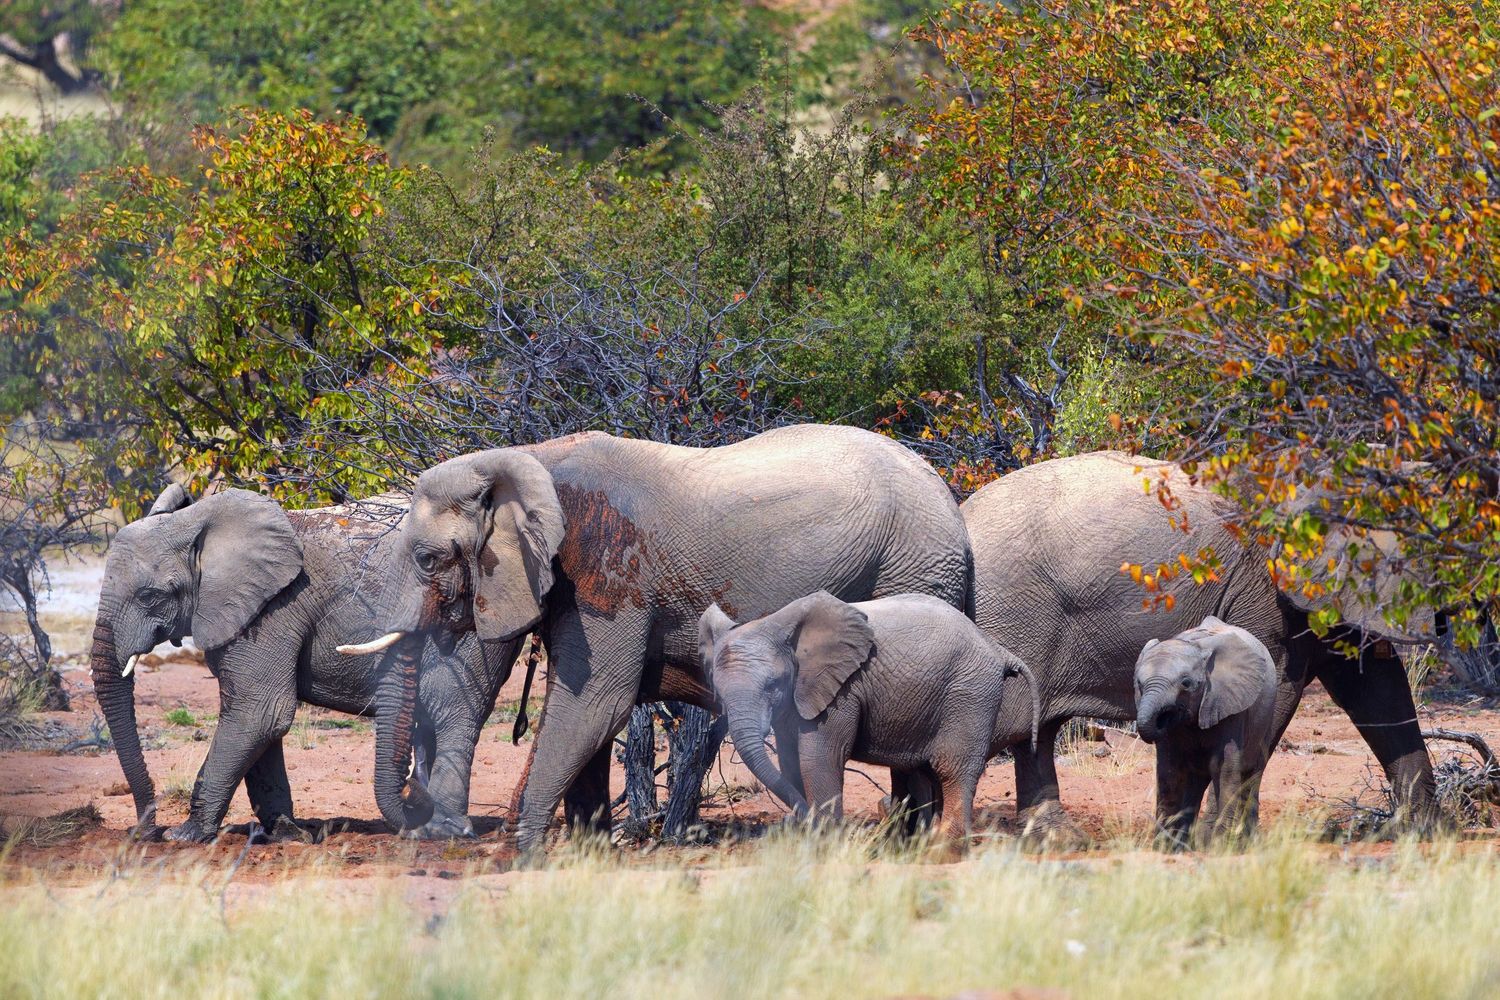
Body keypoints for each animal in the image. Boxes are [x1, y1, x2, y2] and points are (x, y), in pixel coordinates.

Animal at [90, 484, 517, 843]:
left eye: (150, 596)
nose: (146, 832)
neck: (199, 523)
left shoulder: (274, 609)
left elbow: (259, 712)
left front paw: (186, 836)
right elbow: (259, 722)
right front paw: (286, 834)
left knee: (451, 711)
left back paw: (445, 832)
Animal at [340, 425, 974, 854]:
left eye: (427, 559)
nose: (417, 811)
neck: (528, 459)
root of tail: (950, 500)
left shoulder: (606, 565)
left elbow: (596, 701)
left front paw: (526, 852)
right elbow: (586, 709)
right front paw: (586, 851)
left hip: (913, 566)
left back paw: (911, 842)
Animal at [697, 592, 1040, 843]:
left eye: (773, 684)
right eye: (718, 692)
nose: (799, 820)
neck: (777, 624)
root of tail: (997, 649)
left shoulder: (843, 690)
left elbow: (819, 757)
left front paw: (825, 841)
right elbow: (789, 761)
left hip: (970, 693)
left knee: (952, 769)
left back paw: (943, 850)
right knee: (923, 771)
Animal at [1135, 616, 1279, 846]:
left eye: (1186, 683)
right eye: (1139, 683)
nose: (1161, 719)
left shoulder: (1229, 703)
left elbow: (1224, 767)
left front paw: (1220, 845)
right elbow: (1169, 770)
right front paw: (1165, 846)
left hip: (1267, 715)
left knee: (1252, 773)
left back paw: (1247, 842)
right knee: (1195, 782)